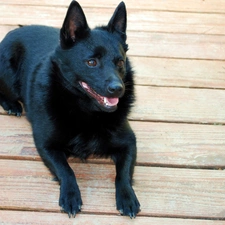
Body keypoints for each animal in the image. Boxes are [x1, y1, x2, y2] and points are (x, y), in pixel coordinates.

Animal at [0, 0, 140, 218]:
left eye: (120, 62)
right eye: (91, 62)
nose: (118, 89)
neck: (87, 111)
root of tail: (12, 32)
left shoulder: (129, 142)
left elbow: (123, 173)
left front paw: (127, 197)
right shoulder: (46, 145)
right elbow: (66, 170)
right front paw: (71, 196)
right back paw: (12, 105)